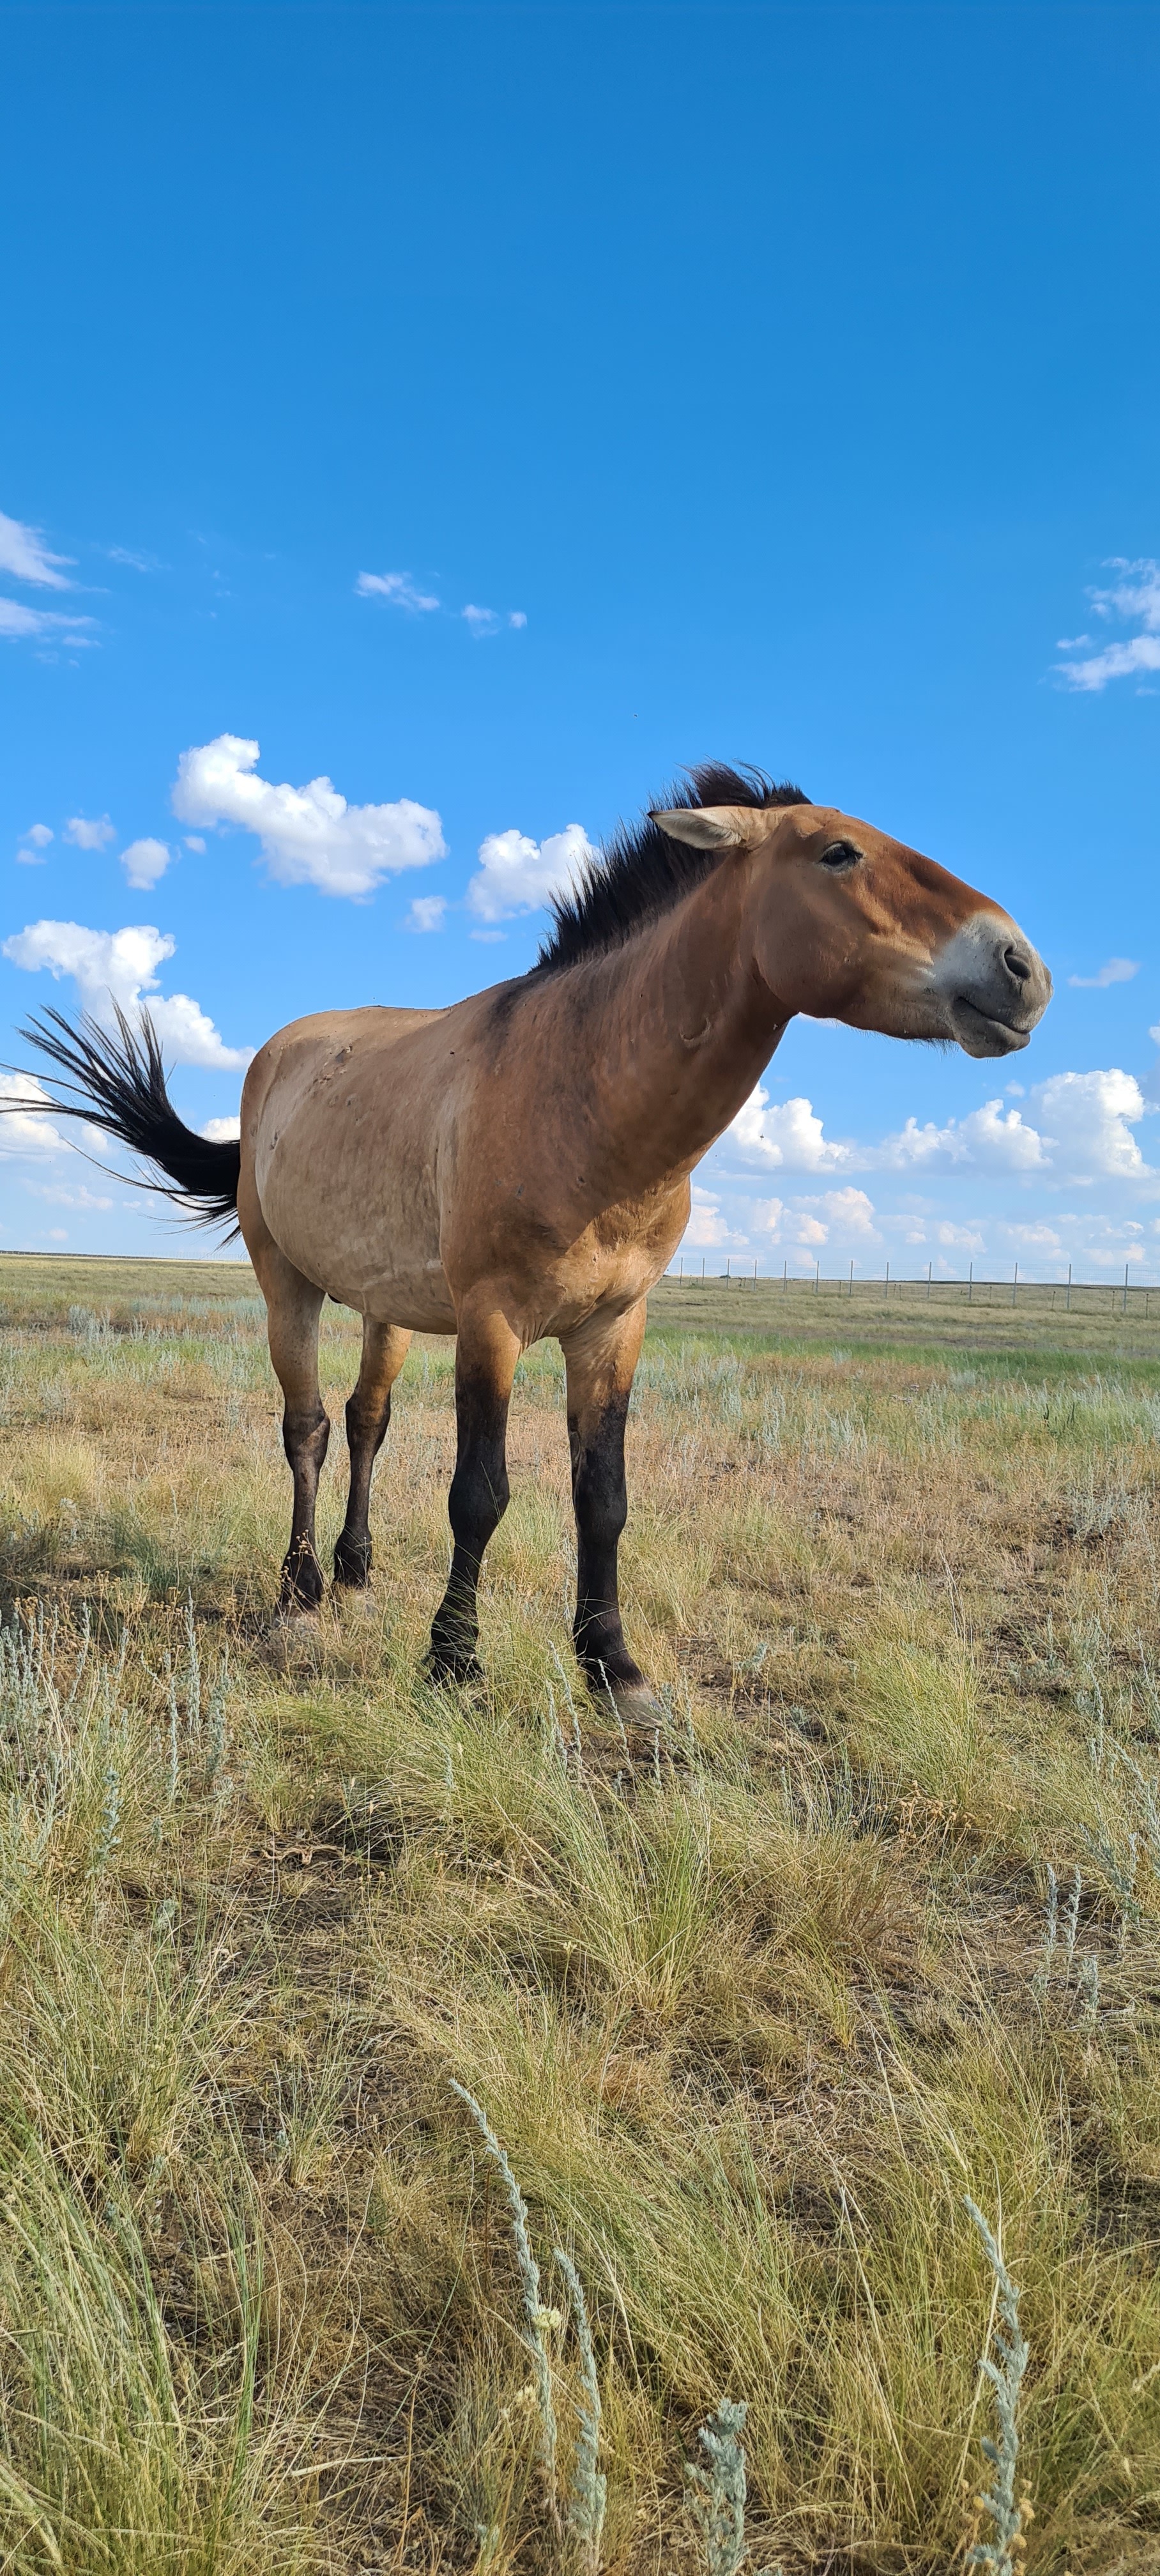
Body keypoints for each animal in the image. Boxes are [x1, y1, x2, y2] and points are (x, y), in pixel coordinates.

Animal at [15, 767, 1051, 1731]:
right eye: (838, 853)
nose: (1022, 967)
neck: (580, 1089)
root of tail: (279, 1055)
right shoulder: (494, 1323)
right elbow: (480, 1493)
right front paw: (452, 1661)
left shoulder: (614, 1328)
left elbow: (604, 1498)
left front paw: (615, 1668)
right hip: (289, 1286)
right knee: (306, 1428)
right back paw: (299, 1595)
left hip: (388, 1308)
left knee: (364, 1421)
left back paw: (355, 1570)